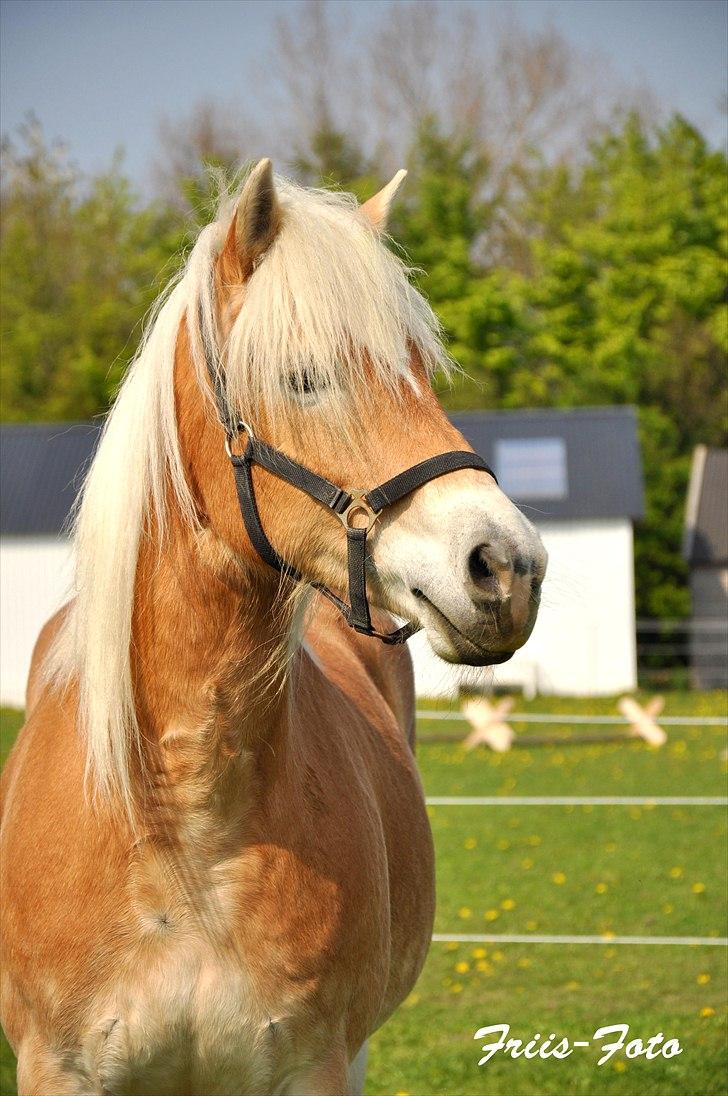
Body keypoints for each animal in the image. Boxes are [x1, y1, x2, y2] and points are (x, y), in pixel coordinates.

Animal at [0, 156, 546, 1096]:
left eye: (418, 371)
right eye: (303, 378)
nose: (508, 567)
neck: (187, 838)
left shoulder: (312, 1065)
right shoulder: (58, 1069)